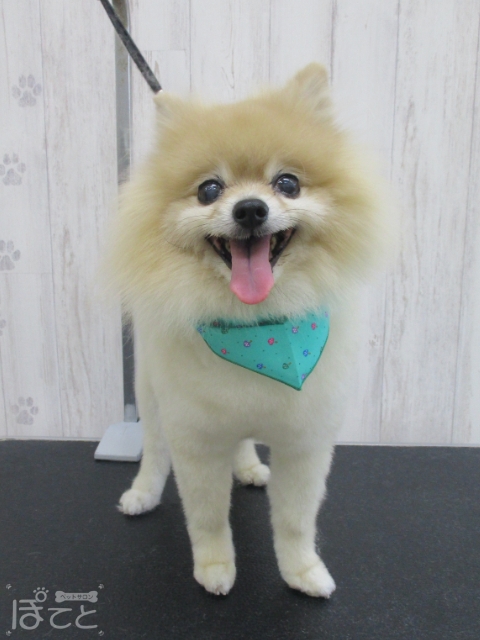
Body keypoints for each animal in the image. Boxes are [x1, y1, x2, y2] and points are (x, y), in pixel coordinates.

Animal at [105, 63, 391, 597]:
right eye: (209, 190)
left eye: (288, 183)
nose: (251, 209)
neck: (258, 329)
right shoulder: (196, 440)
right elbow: (208, 516)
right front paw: (215, 567)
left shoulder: (305, 442)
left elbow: (297, 520)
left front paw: (302, 571)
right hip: (149, 392)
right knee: (153, 447)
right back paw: (143, 492)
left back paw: (250, 466)